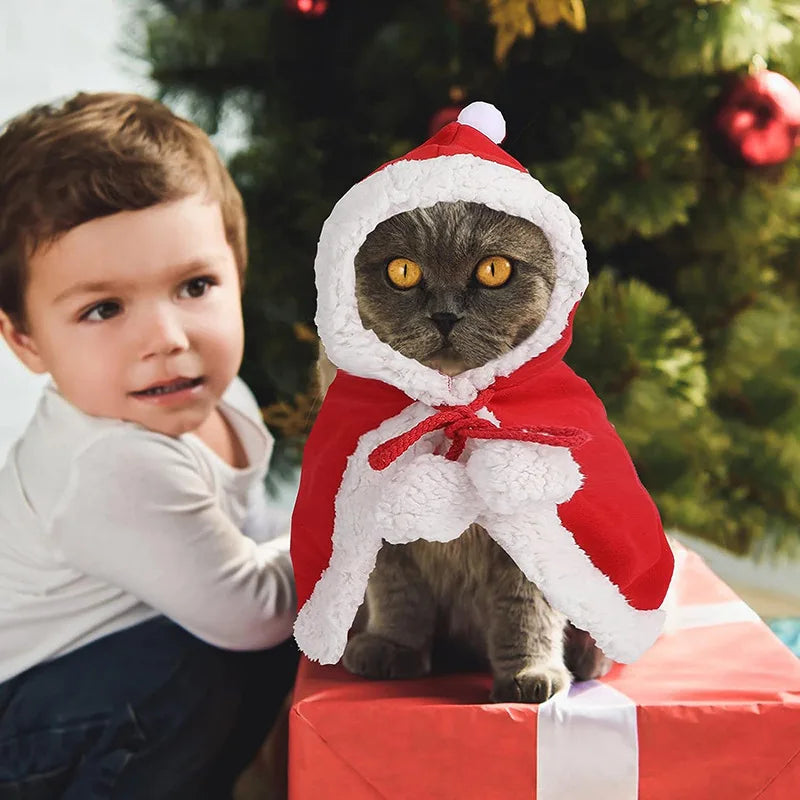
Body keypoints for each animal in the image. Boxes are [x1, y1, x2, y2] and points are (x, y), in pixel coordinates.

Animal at [322, 203, 608, 704]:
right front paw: (392, 648)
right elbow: (398, 596)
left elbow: (526, 608)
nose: (445, 315)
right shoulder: (377, 526)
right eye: (402, 270)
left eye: (494, 270)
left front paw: (531, 674)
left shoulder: (529, 526)